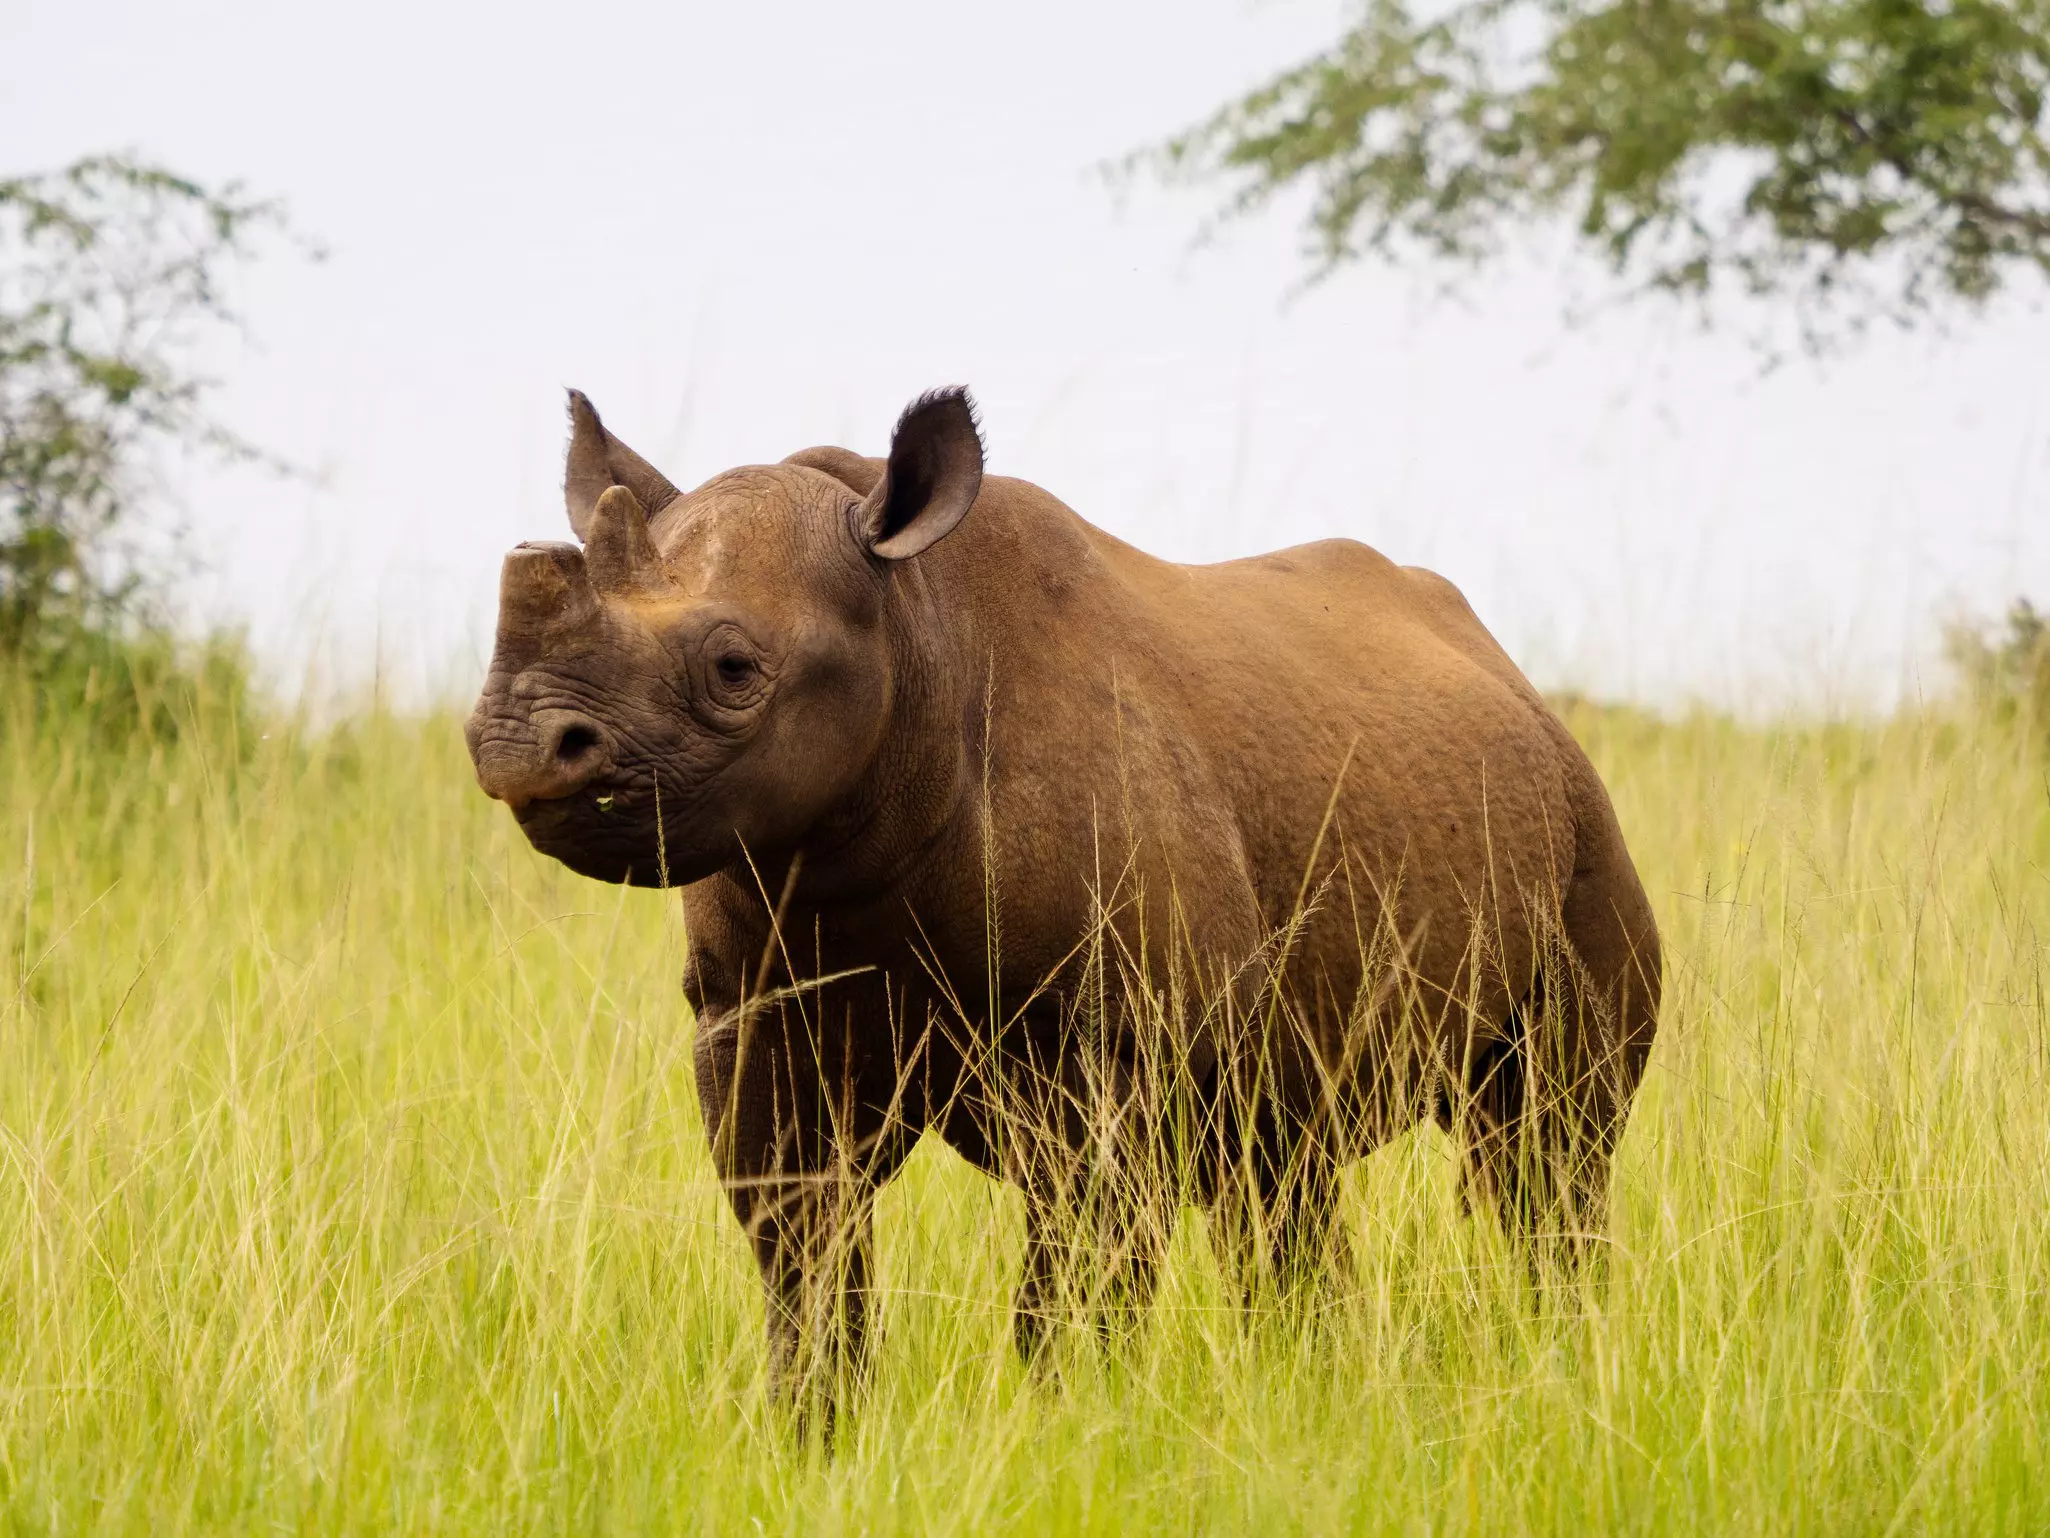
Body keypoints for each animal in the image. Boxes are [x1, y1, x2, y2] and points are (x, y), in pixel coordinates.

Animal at [466, 386, 1661, 1404]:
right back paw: (1319, 1388)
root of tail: (1501, 664)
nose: (522, 742)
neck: (914, 633)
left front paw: (1072, 1421)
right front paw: (814, 1434)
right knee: (1282, 1168)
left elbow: (1078, 1269)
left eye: (732, 670)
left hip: (1583, 821)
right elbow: (802, 1248)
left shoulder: (1123, 1043)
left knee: (1544, 1156)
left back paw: (1567, 1358)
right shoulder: (750, 1009)